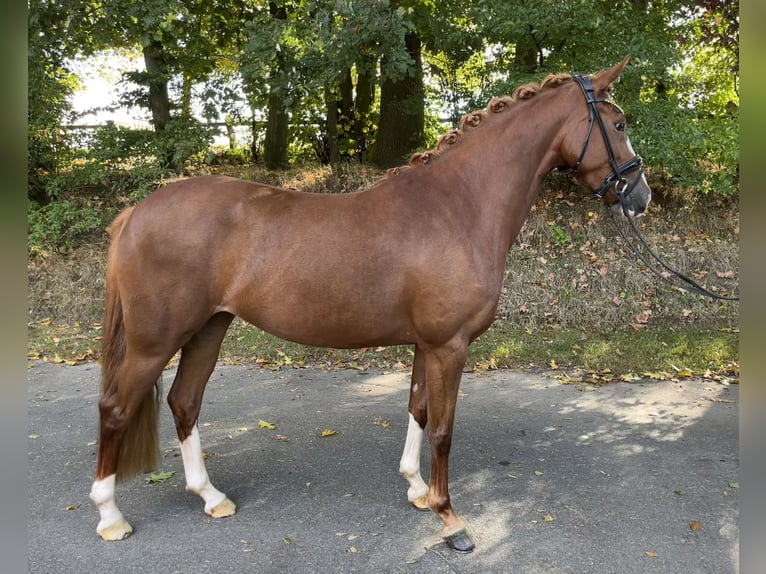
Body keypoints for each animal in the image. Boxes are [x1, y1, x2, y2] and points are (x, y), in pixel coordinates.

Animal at [90, 57, 656, 552]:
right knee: (116, 408)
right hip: (154, 341)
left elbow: (419, 410)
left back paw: (210, 497)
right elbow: (444, 431)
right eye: (619, 123)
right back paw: (110, 516)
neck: (457, 207)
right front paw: (450, 519)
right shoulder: (449, 346)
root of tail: (136, 213)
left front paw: (417, 490)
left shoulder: (427, 344)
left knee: (184, 402)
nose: (641, 195)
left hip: (209, 328)